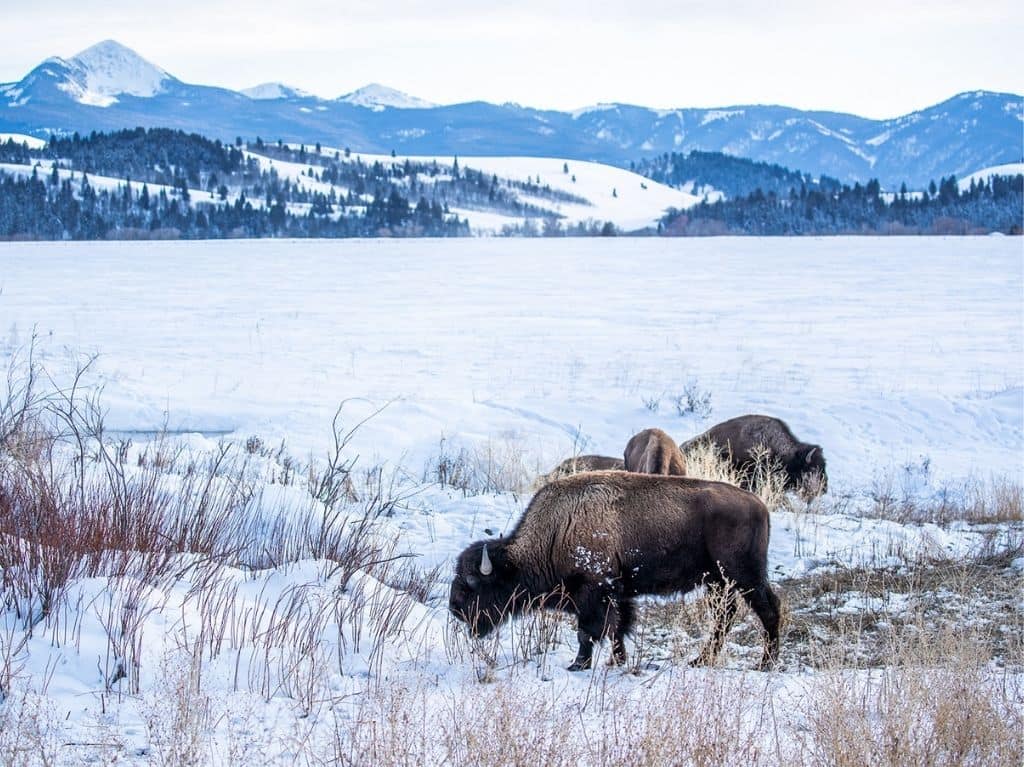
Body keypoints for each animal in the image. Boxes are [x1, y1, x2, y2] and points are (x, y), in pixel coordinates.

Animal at [448, 473, 774, 671]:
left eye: (472, 584)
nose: (454, 609)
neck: (554, 533)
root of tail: (759, 504)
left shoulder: (594, 592)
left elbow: (587, 632)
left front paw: (578, 665)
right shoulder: (618, 594)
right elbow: (618, 628)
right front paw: (616, 661)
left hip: (743, 575)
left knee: (768, 610)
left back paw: (765, 664)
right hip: (716, 581)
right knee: (725, 617)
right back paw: (701, 660)